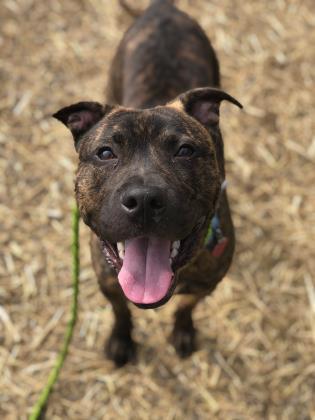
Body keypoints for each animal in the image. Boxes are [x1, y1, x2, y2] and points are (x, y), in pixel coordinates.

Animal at [54, 0, 243, 368]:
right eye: (105, 152)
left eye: (185, 150)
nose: (143, 199)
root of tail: (162, 6)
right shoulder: (108, 283)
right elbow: (120, 312)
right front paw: (120, 340)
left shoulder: (205, 286)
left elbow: (185, 308)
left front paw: (183, 332)